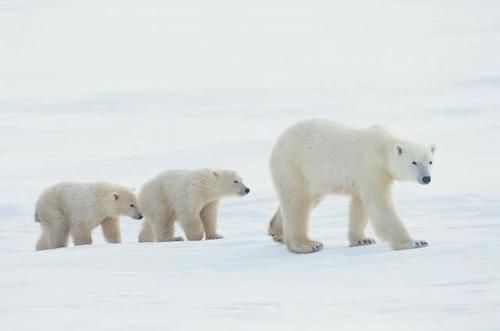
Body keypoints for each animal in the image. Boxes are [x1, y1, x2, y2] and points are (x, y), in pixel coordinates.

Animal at [268, 119, 436, 254]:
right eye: (414, 162)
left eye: (430, 161)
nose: (426, 178)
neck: (382, 148)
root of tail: (278, 141)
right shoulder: (371, 168)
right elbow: (379, 204)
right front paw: (414, 242)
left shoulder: (366, 176)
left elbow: (359, 205)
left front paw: (362, 239)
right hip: (295, 165)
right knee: (297, 203)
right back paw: (307, 244)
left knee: (305, 199)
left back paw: (277, 231)